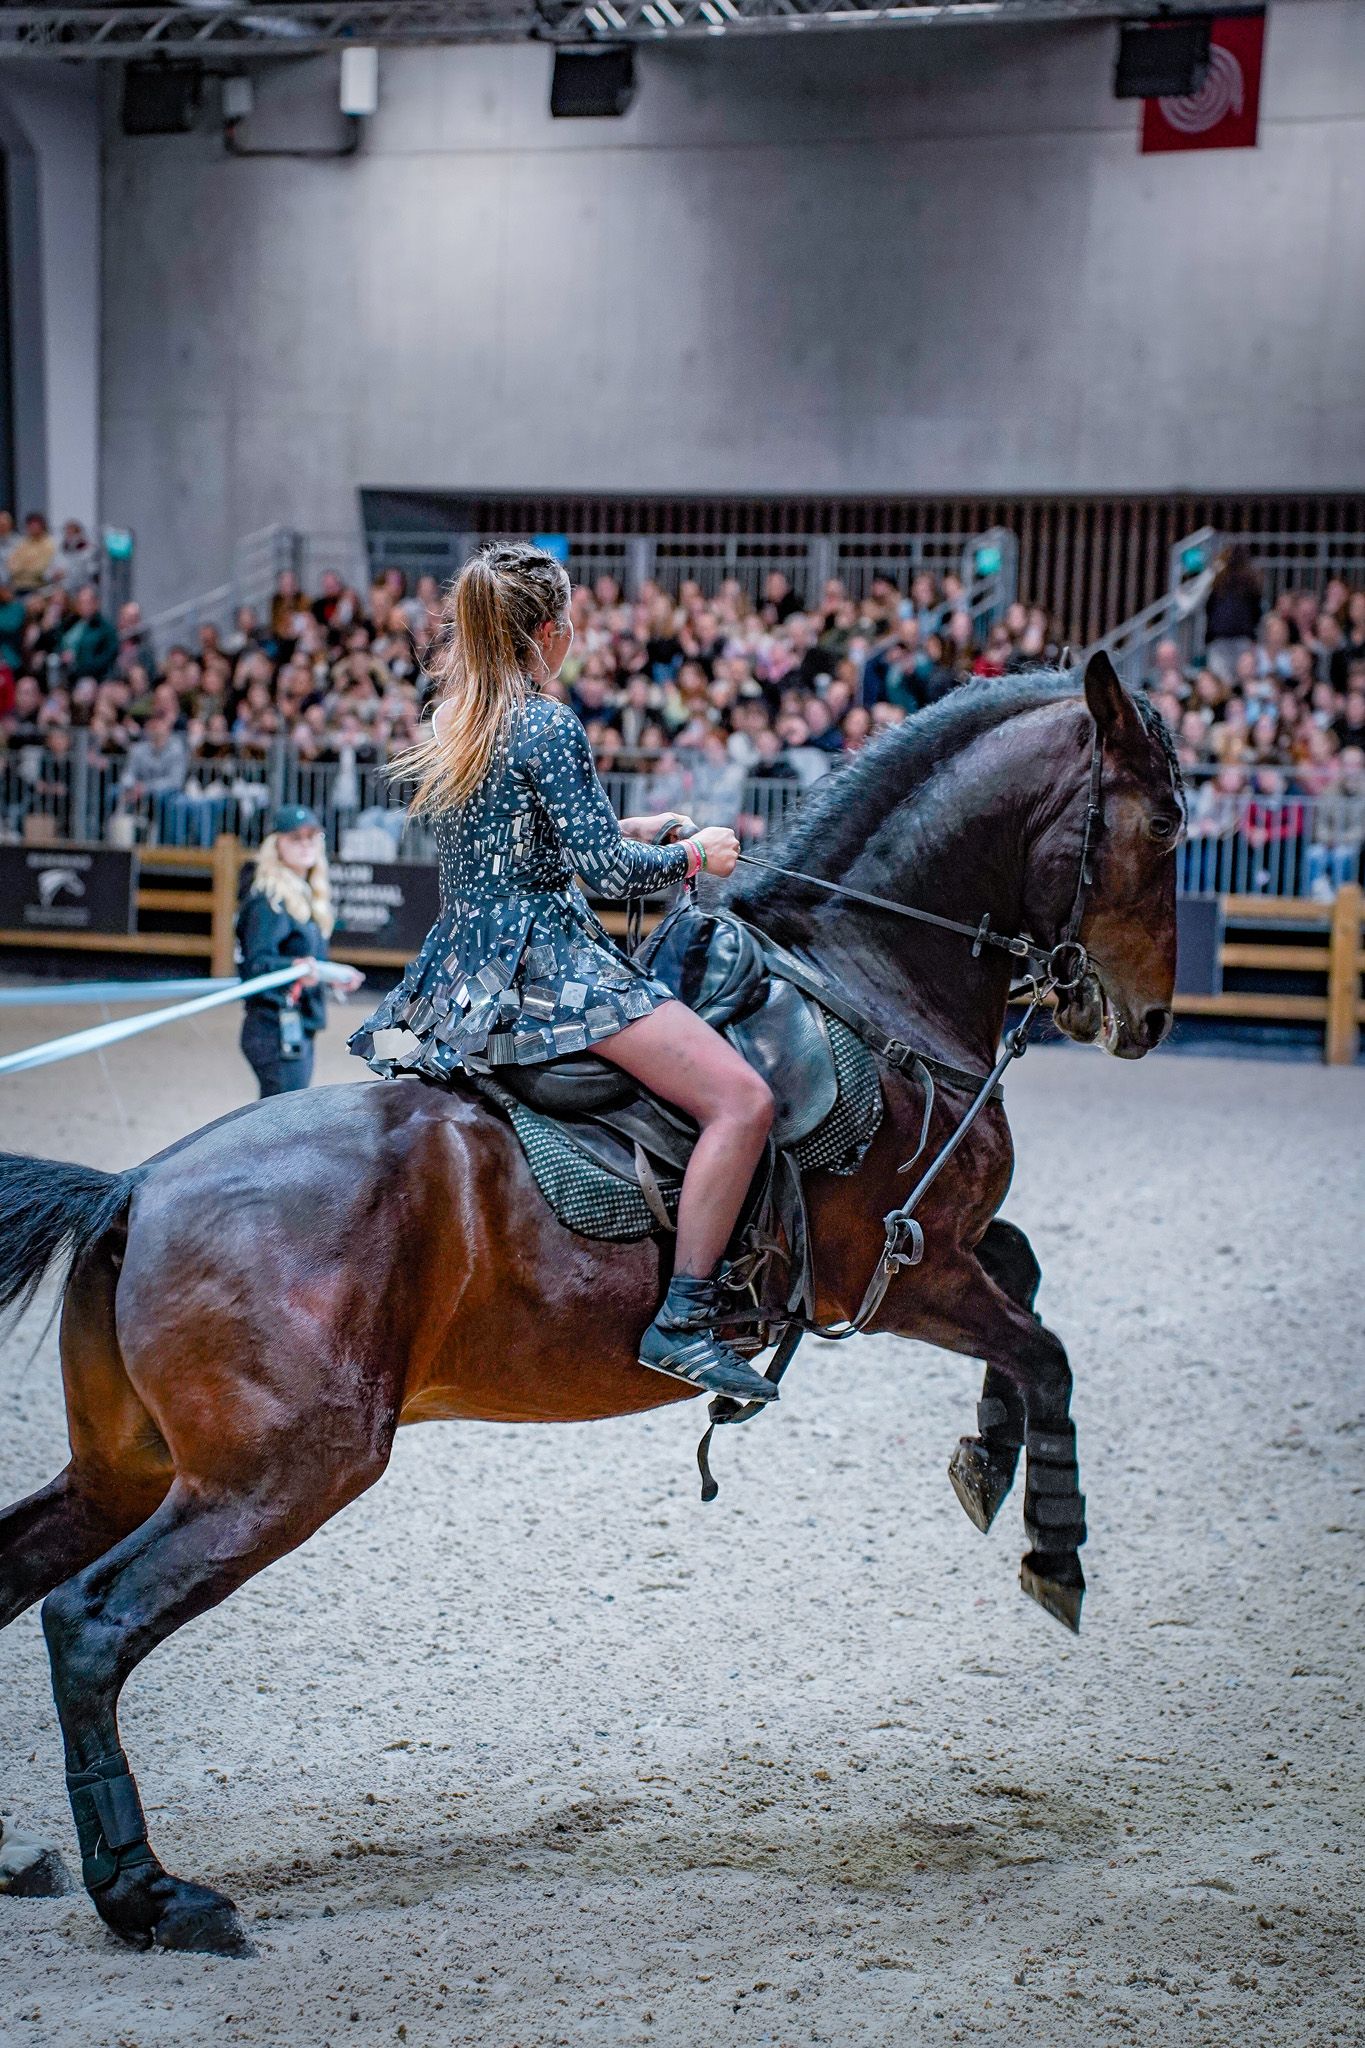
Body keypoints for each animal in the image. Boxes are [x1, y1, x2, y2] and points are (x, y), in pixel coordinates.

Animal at [0, 655, 1181, 1956]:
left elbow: (1026, 1283)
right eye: (1170, 823)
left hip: (130, 1469)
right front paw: (1053, 1545)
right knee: (89, 1624)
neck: (875, 985)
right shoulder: (900, 1274)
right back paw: (150, 1891)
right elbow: (1047, 1348)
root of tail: (134, 1189)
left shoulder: (944, 1250)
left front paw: (985, 1457)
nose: (1146, 1020)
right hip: (278, 1473)